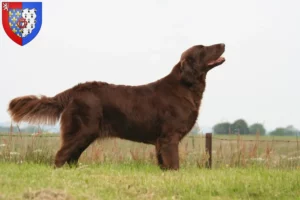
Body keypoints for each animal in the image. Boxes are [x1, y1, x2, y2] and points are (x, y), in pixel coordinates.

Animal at [7, 43, 225, 169]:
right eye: (203, 48)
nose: (222, 43)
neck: (186, 86)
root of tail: (74, 91)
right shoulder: (169, 137)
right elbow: (174, 164)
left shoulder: (160, 141)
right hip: (82, 130)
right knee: (61, 156)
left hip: (85, 134)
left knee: (71, 157)